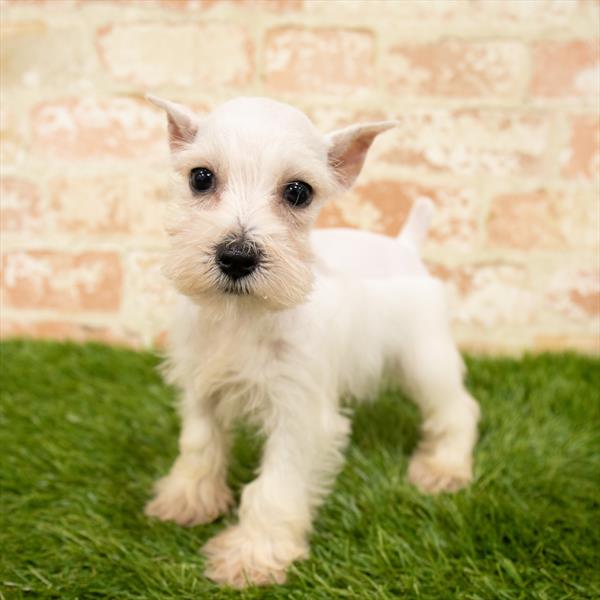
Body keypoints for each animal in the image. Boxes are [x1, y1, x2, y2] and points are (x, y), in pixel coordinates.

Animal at [143, 96, 480, 588]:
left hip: (425, 359)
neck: (245, 316)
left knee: (458, 409)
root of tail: (405, 246)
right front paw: (188, 499)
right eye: (200, 177)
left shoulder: (297, 412)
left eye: (298, 192)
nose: (236, 257)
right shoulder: (200, 386)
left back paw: (444, 468)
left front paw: (253, 555)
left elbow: (275, 485)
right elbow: (199, 443)